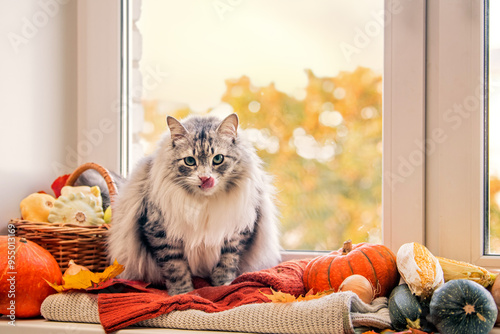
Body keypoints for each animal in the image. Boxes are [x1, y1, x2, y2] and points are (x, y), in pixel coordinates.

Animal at [107, 113, 282, 294]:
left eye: (218, 159)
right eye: (190, 161)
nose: (205, 178)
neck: (204, 202)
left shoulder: (235, 234)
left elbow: (226, 264)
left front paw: (223, 286)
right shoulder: (162, 233)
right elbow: (176, 268)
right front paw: (182, 292)